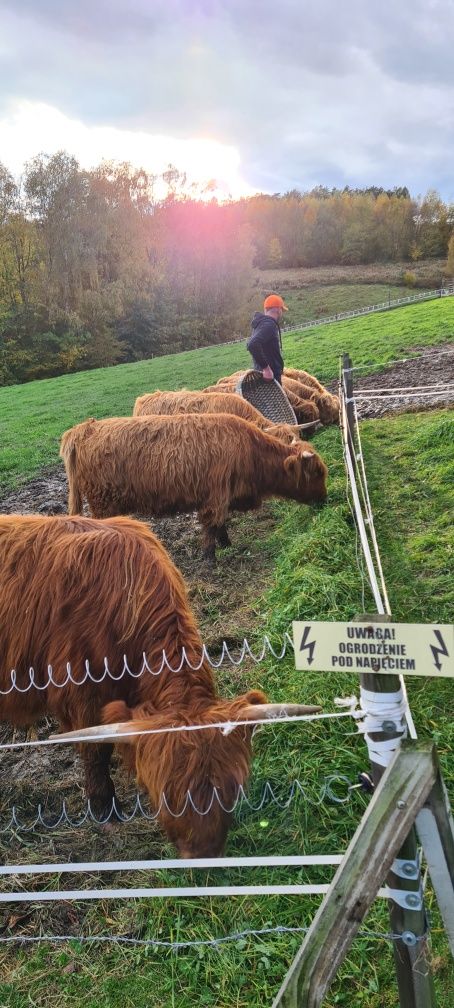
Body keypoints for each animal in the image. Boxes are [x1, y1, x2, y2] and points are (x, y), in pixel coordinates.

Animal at [0, 516, 320, 854]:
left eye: (232, 789)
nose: (204, 854)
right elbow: (96, 751)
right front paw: (106, 811)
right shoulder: (81, 693)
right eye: (168, 796)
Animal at [61, 413, 326, 564]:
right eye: (317, 473)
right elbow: (211, 526)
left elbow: (221, 524)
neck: (251, 453)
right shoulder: (215, 496)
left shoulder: (223, 497)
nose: (325, 499)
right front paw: (210, 559)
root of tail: (83, 429)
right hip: (102, 503)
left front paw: (226, 544)